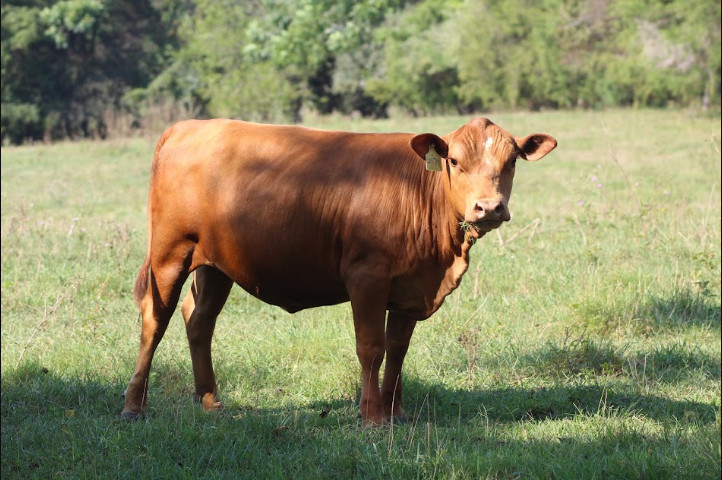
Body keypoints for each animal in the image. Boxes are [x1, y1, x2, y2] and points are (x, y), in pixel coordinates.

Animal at [121, 117, 557, 426]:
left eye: (511, 162)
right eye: (454, 161)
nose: (489, 207)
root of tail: (188, 125)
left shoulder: (410, 288)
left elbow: (398, 349)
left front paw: (396, 412)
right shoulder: (367, 278)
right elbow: (372, 347)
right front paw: (372, 416)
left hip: (216, 266)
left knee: (199, 319)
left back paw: (210, 401)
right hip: (170, 252)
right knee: (155, 318)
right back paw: (133, 406)